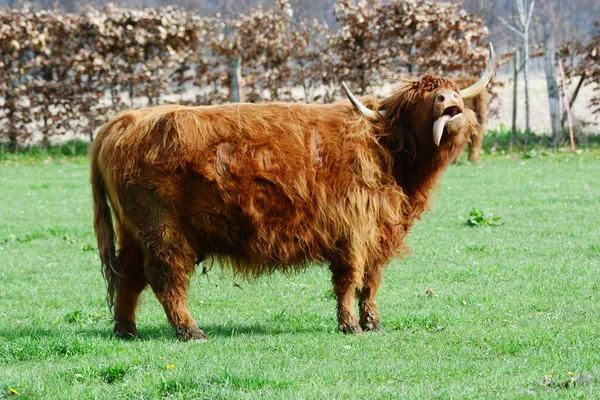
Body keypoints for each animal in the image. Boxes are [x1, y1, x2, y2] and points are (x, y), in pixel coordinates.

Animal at [89, 46, 492, 340]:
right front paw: (350, 325)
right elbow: (349, 278)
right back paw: (190, 331)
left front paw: (373, 322)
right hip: (162, 231)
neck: (388, 154)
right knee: (165, 277)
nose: (447, 100)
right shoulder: (352, 229)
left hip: (133, 232)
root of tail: (122, 121)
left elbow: (371, 281)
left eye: (451, 90)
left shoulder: (379, 232)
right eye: (421, 100)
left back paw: (126, 329)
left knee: (129, 276)